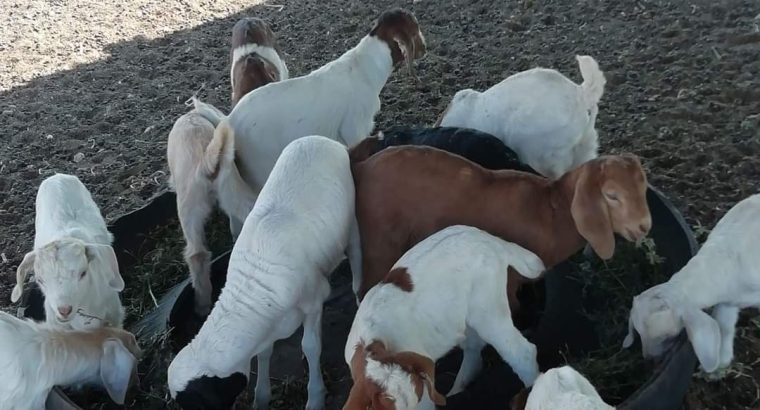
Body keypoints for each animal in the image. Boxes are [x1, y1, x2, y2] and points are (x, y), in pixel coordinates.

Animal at [168, 136, 355, 410]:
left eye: (199, 401)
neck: (254, 284)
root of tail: (316, 139)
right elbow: (263, 353)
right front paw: (261, 397)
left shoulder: (312, 302)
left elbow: (310, 346)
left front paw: (315, 397)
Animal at [344, 226, 545, 410]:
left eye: (416, 401)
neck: (370, 342)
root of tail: (492, 241)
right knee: (473, 346)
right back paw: (457, 388)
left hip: (488, 308)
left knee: (521, 352)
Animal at [623, 193, 760, 375]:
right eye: (638, 332)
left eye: (669, 336)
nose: (650, 361)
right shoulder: (729, 299)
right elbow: (724, 325)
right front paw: (719, 368)